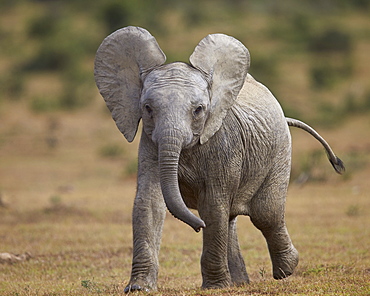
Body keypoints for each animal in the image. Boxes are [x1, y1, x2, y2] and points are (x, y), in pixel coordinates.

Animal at [94, 26, 346, 292]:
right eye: (148, 108)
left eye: (199, 110)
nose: (197, 225)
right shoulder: (150, 143)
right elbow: (149, 203)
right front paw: (139, 288)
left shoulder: (224, 144)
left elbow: (213, 205)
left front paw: (214, 287)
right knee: (232, 218)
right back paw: (240, 282)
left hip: (280, 150)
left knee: (265, 213)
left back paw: (286, 270)